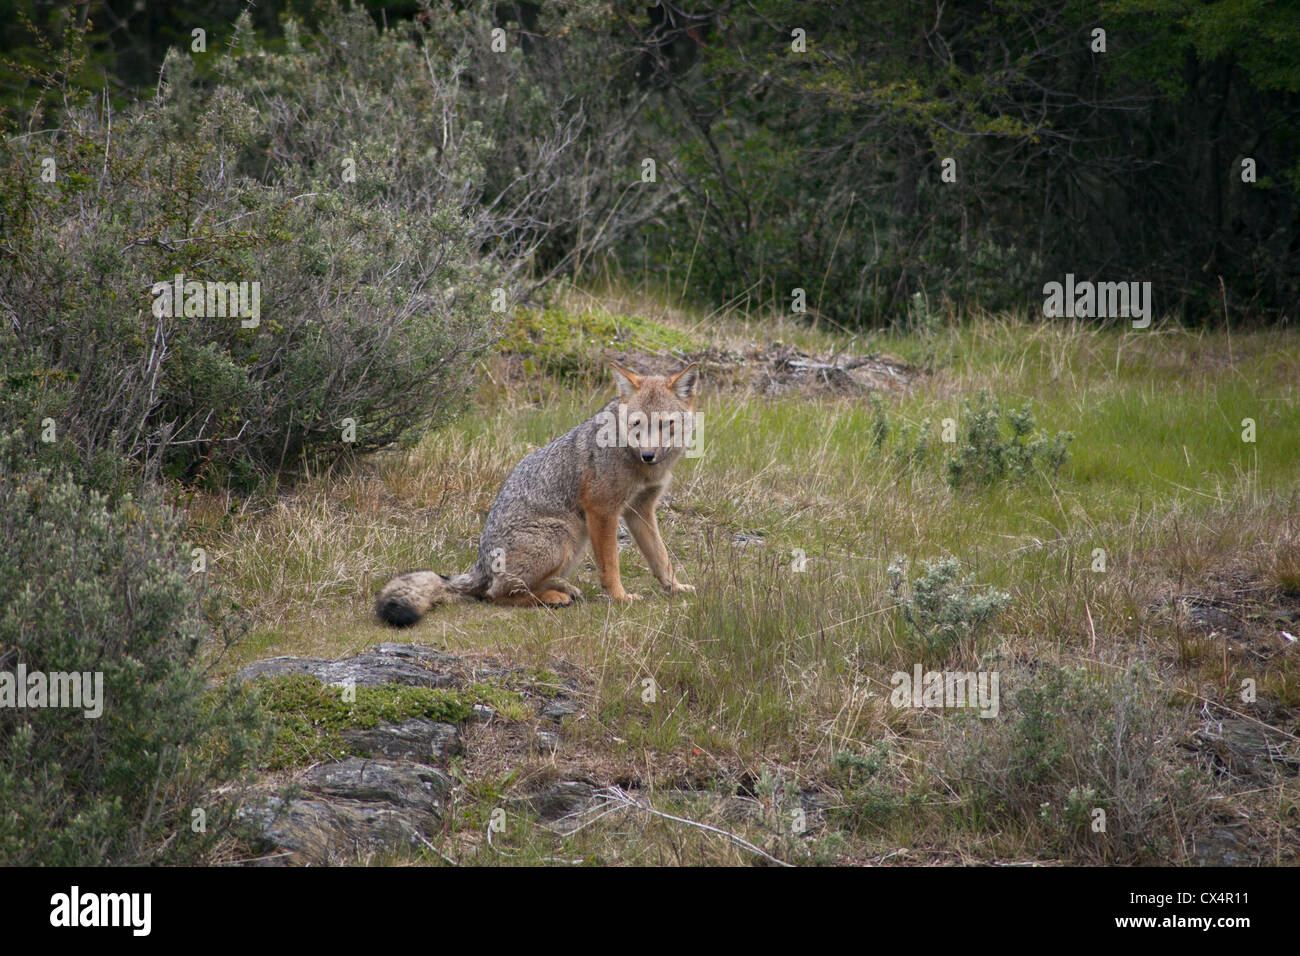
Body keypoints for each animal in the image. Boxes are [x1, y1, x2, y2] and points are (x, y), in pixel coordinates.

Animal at [375, 362, 700, 627]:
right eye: (636, 424)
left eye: (666, 424)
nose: (648, 455)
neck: (637, 464)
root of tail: (482, 566)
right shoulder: (602, 510)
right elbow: (611, 566)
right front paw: (620, 597)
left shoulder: (640, 510)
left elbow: (661, 557)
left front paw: (674, 587)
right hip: (564, 536)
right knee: (495, 594)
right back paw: (551, 597)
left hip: (576, 541)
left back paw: (561, 588)